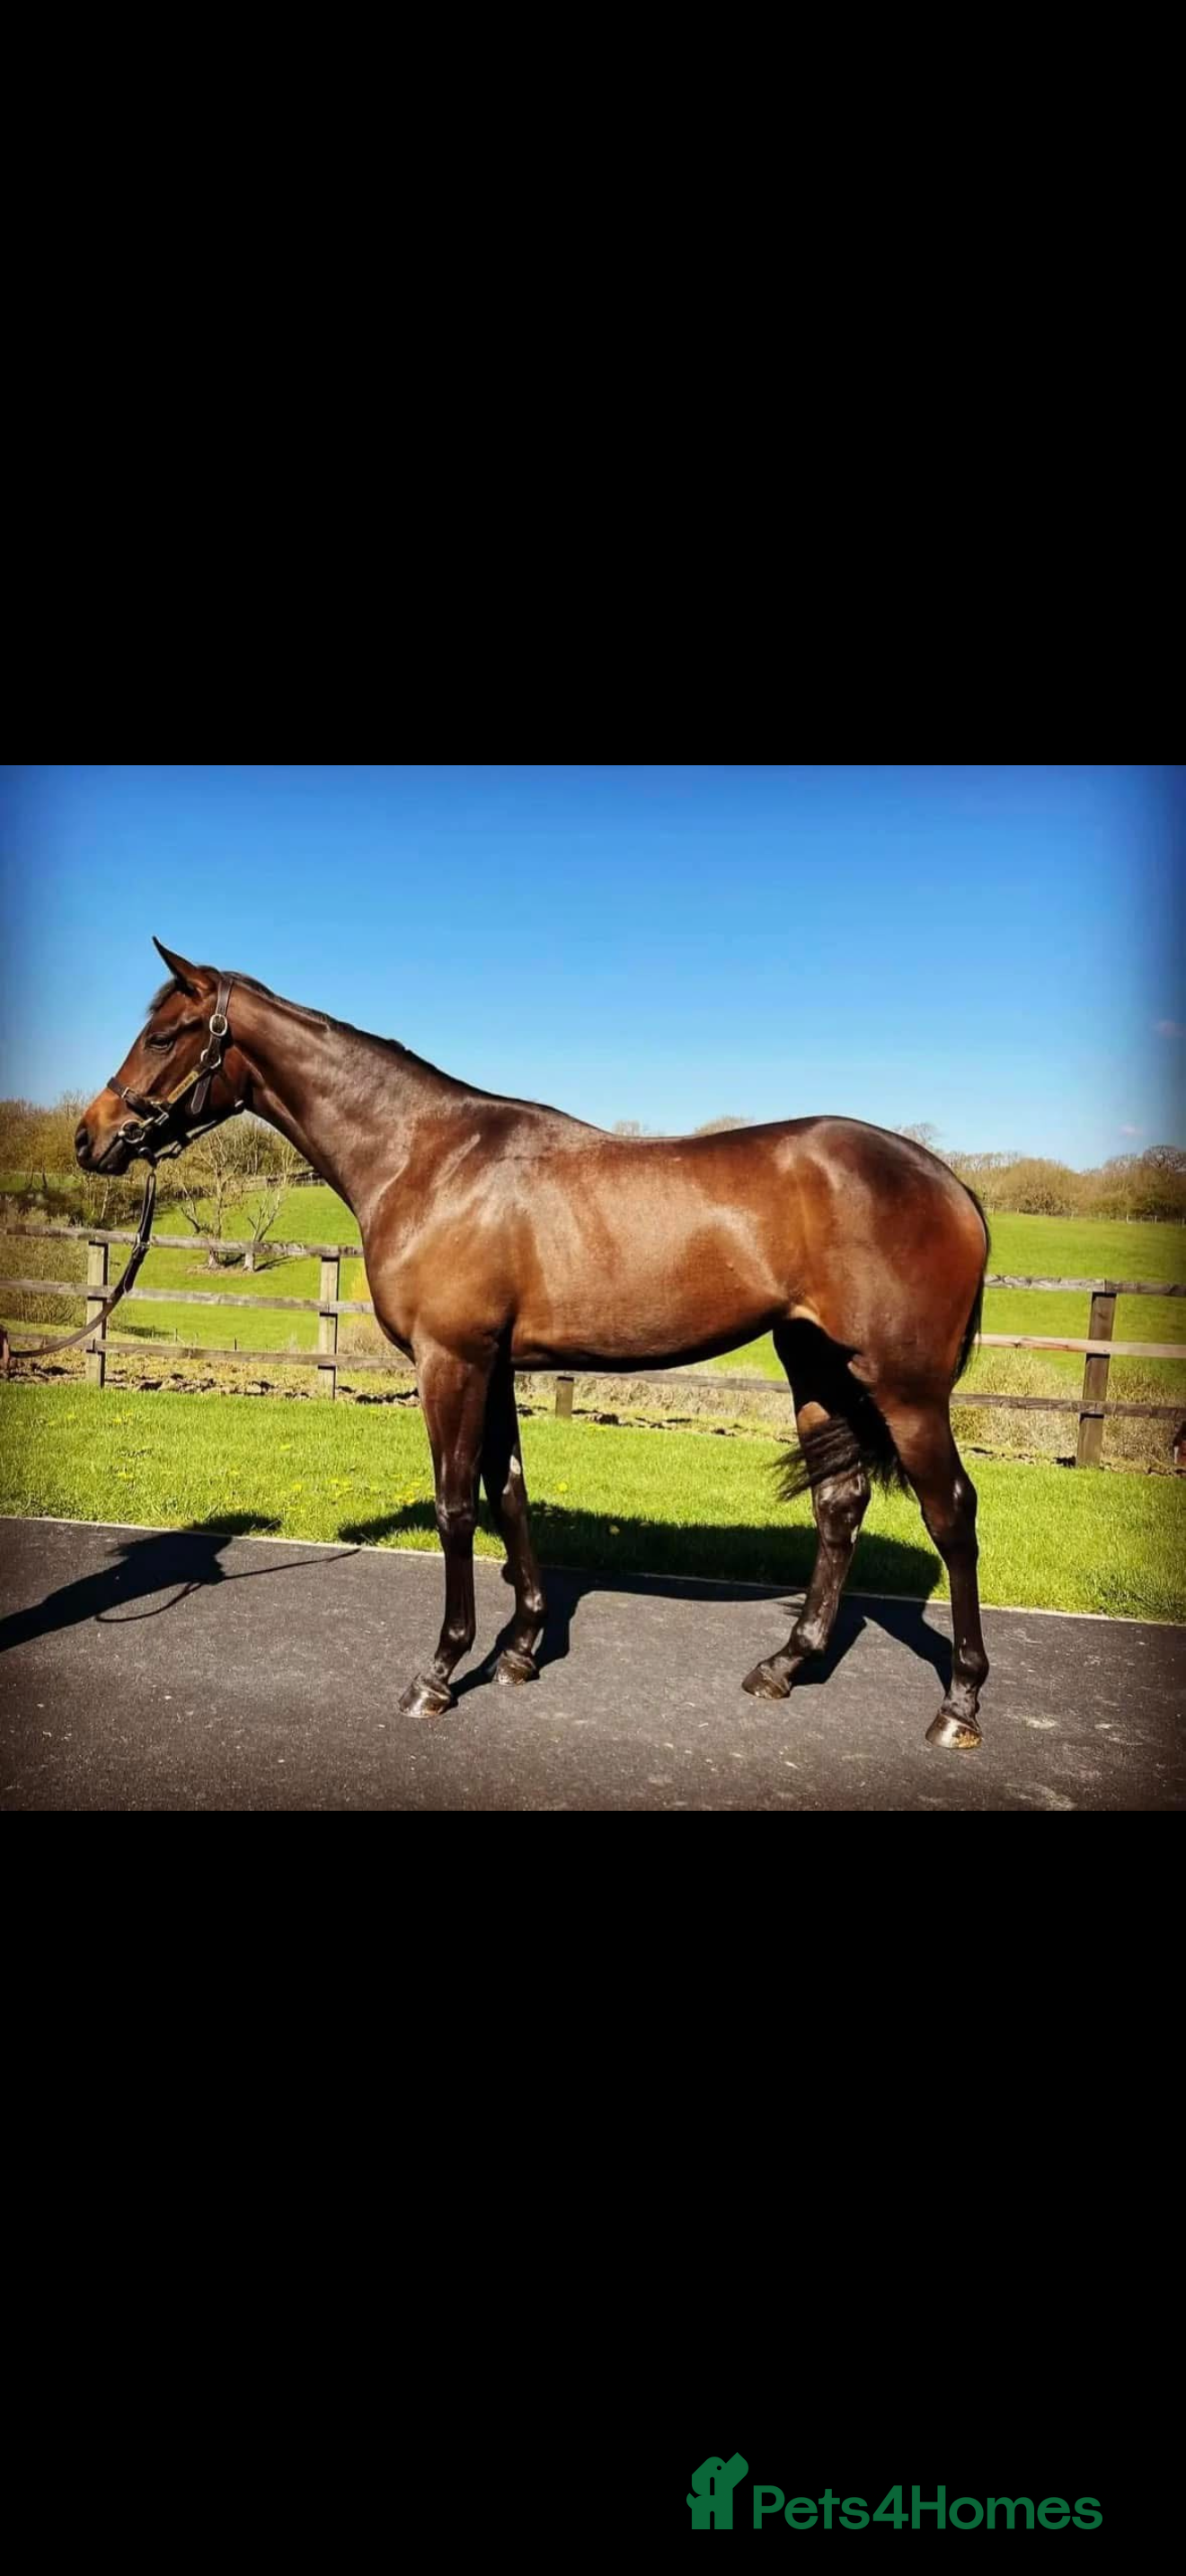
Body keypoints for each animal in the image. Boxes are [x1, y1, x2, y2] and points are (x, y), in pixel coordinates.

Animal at [76, 940, 991, 1749]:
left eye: (163, 1037)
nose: (90, 1136)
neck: (427, 1159)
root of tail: (949, 1181)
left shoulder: (452, 1361)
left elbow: (455, 1506)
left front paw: (441, 1671)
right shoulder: (497, 1366)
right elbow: (509, 1495)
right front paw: (519, 1650)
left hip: (906, 1389)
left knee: (952, 1513)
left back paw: (958, 1705)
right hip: (818, 1367)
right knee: (840, 1504)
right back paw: (786, 1665)